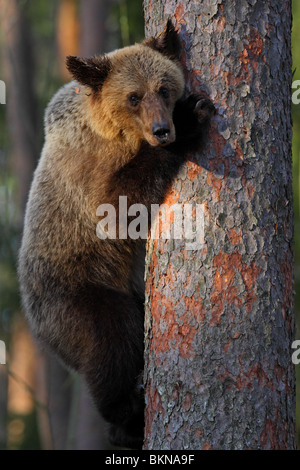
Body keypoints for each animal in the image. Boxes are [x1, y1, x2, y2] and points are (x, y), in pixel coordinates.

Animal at [18, 21, 213, 448]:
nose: (163, 130)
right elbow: (119, 209)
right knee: (112, 340)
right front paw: (192, 118)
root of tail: (38, 333)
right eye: (133, 96)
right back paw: (127, 417)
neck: (119, 135)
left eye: (163, 88)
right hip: (76, 292)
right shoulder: (87, 172)